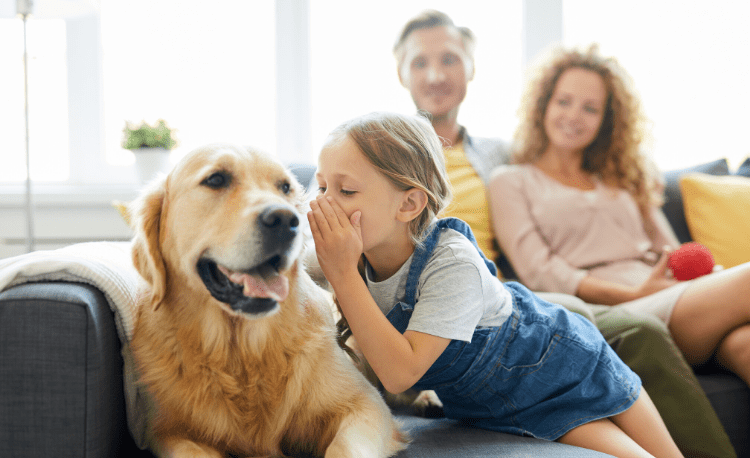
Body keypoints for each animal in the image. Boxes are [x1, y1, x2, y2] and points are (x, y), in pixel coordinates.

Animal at [131, 144, 408, 458]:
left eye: (285, 187)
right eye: (216, 179)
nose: (286, 220)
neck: (242, 352)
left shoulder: (365, 403)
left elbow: (345, 446)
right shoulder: (167, 431)